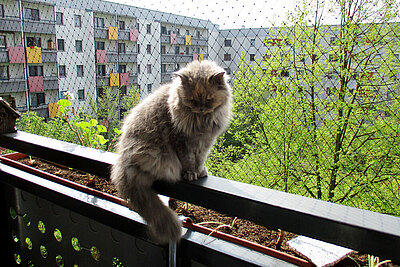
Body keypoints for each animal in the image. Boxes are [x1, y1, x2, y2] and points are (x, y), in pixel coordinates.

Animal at [111, 60, 233, 245]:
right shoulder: (181, 141)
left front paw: (200, 171)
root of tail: (124, 163)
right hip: (153, 153)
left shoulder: (206, 143)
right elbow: (189, 160)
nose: (201, 108)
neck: (201, 121)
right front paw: (191, 174)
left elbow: (200, 159)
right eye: (192, 100)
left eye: (209, 99)